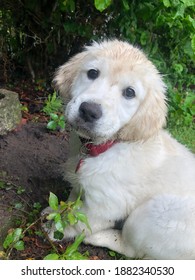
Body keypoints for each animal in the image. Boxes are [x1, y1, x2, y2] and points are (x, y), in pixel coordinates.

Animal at [45, 40, 195, 260]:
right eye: (92, 73)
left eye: (129, 92)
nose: (89, 111)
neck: (109, 145)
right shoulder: (80, 183)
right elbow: (71, 202)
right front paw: (53, 211)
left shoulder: (103, 206)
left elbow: (78, 221)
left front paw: (57, 231)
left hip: (151, 214)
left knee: (132, 249)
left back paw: (99, 237)